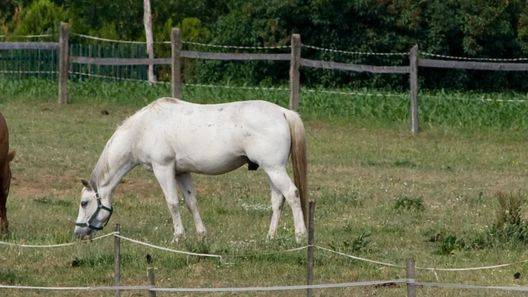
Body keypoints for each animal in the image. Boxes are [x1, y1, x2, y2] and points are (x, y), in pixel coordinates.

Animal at [72, 98, 308, 242]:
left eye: (84, 203)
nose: (77, 233)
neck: (141, 130)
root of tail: (284, 112)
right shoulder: (181, 172)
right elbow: (191, 202)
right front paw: (201, 235)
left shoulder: (163, 168)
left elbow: (173, 203)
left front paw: (178, 236)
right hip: (271, 171)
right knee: (278, 201)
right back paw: (270, 237)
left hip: (275, 169)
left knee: (293, 194)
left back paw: (300, 235)